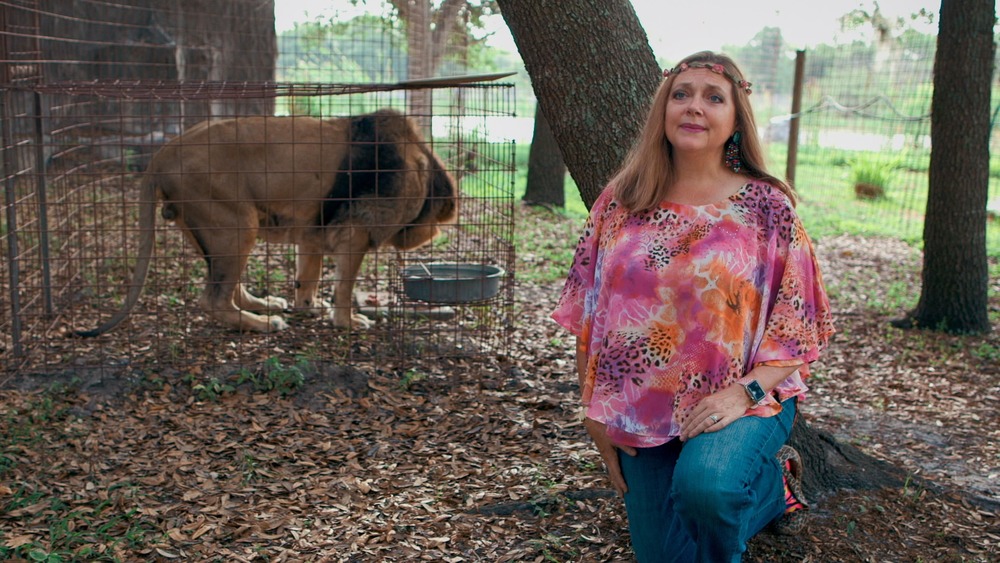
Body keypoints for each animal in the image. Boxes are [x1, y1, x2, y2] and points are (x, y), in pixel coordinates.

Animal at [76, 109, 458, 334]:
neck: (422, 168)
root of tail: (163, 152)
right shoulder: (356, 233)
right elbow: (344, 287)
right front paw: (347, 321)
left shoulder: (313, 231)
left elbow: (308, 276)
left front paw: (309, 307)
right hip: (238, 224)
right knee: (214, 299)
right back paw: (263, 323)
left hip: (213, 229)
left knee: (228, 286)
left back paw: (264, 305)